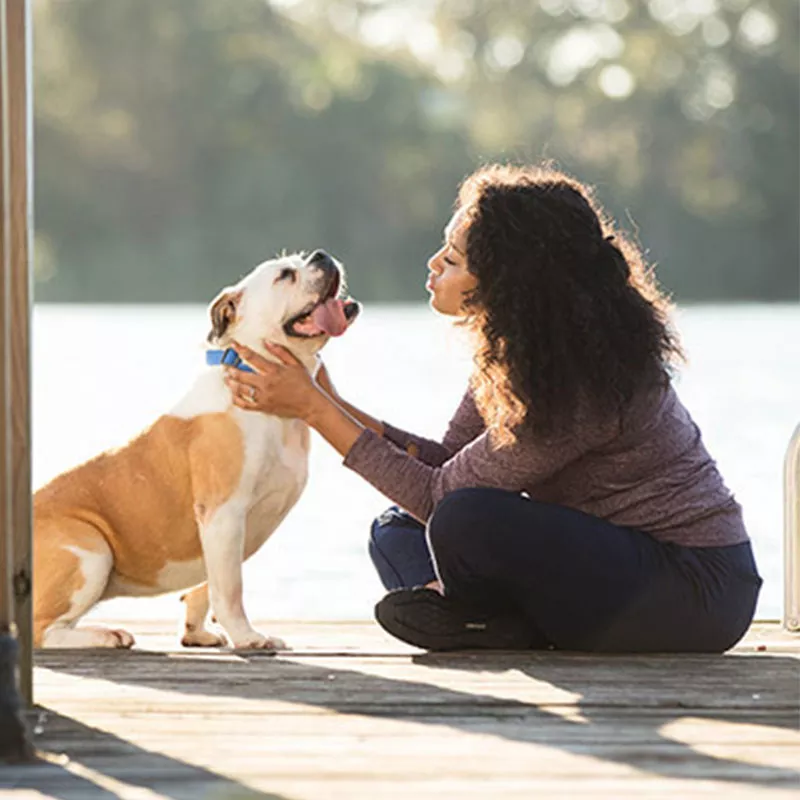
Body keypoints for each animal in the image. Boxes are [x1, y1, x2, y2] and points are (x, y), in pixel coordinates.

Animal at [33, 248, 360, 648]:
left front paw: (197, 632)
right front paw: (248, 637)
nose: (321, 254)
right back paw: (105, 634)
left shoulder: (233, 529)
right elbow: (230, 589)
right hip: (92, 551)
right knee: (42, 629)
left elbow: (211, 583)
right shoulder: (224, 513)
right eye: (285, 274)